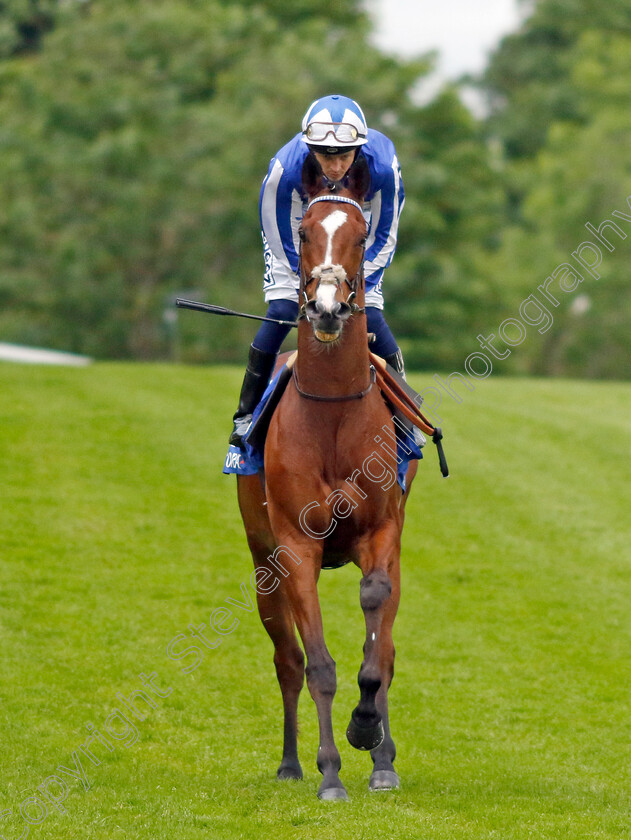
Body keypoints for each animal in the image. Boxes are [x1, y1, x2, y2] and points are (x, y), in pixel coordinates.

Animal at [237, 153, 420, 800]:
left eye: (361, 235)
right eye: (303, 231)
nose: (324, 307)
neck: (335, 414)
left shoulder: (382, 533)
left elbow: (376, 645)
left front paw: (368, 733)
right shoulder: (295, 547)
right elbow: (317, 664)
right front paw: (330, 771)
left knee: (386, 648)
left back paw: (384, 758)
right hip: (263, 561)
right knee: (288, 662)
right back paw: (293, 763)